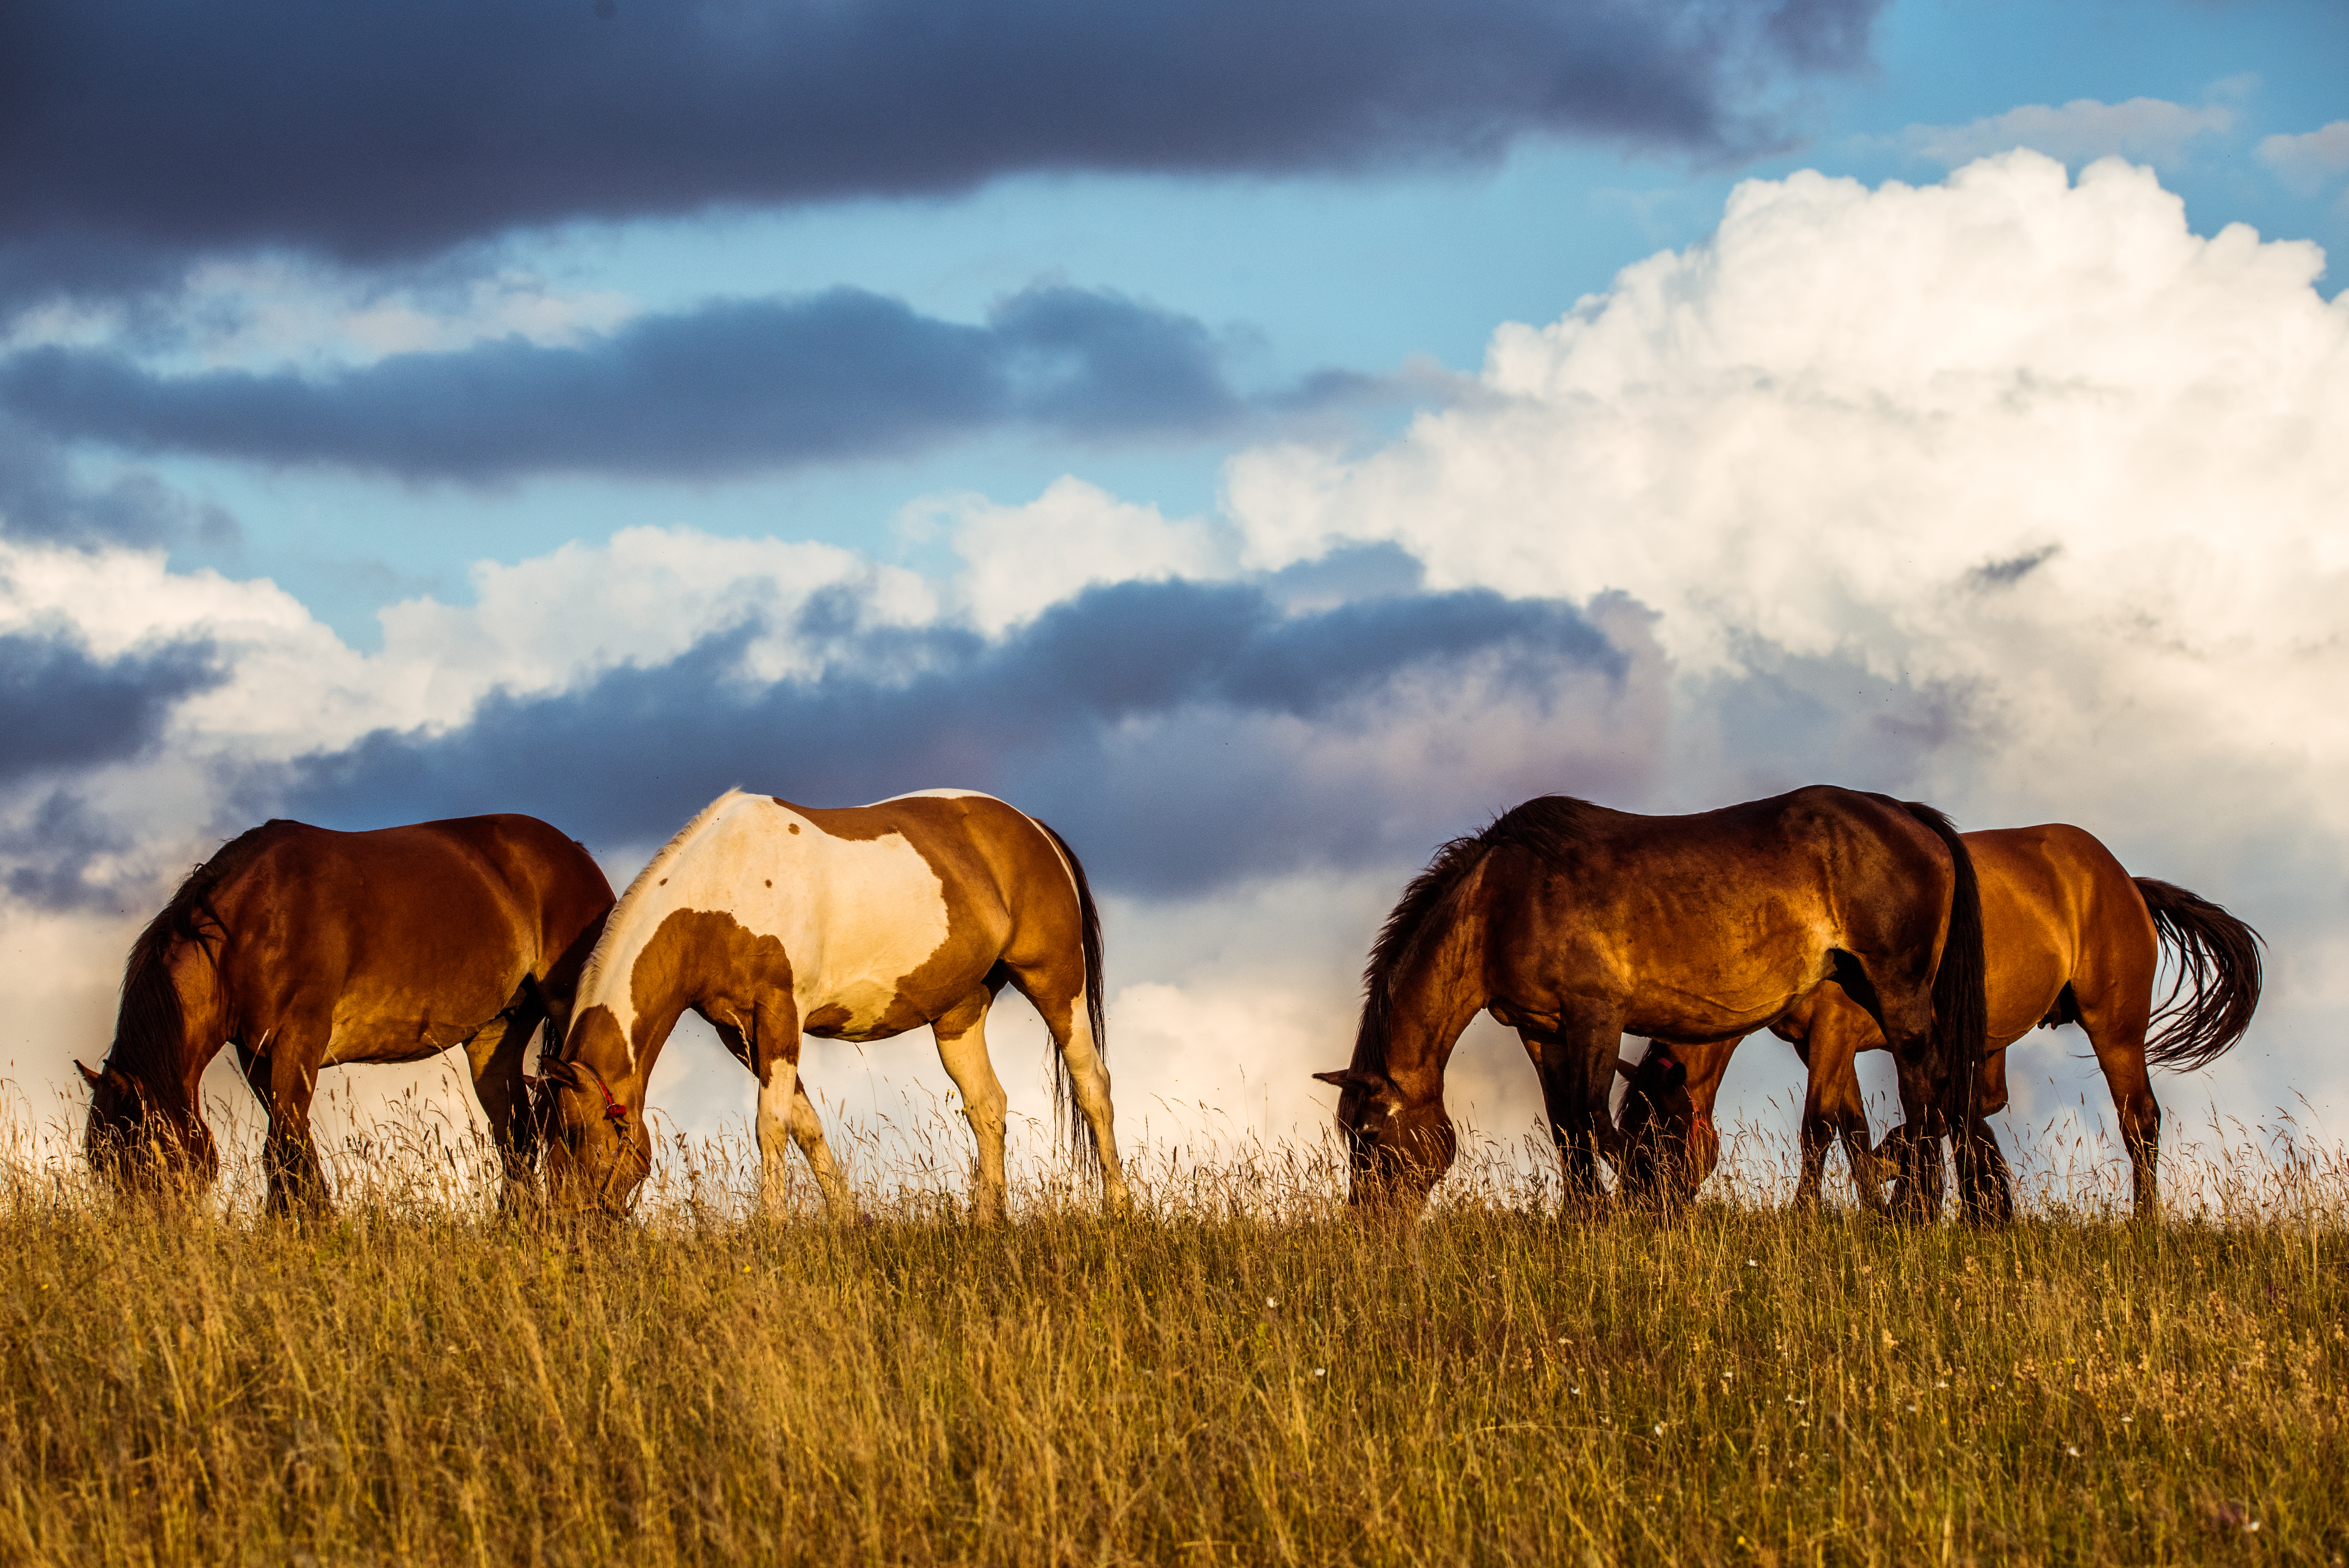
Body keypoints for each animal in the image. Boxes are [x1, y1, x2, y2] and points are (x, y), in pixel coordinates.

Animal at [80, 817, 615, 1220]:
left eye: (147, 1159)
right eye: (103, 1165)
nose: (155, 1239)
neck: (247, 923)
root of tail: (573, 852)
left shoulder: (299, 1040)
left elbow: (284, 1146)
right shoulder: (258, 1055)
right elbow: (292, 1144)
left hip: (565, 1008)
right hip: (494, 1034)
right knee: (517, 1136)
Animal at [540, 788, 1127, 1220]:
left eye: (574, 1133)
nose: (569, 1224)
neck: (719, 892)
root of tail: (1032, 827)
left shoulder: (779, 1014)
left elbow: (771, 1124)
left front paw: (771, 1224)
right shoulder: (743, 1036)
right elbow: (805, 1125)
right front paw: (845, 1218)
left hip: (1056, 982)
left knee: (1093, 1087)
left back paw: (1117, 1209)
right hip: (959, 1014)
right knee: (988, 1106)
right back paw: (987, 1220)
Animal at [1315, 788, 1992, 1220]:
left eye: (1368, 1133)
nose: (1366, 1223)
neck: (1500, 900)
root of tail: (1907, 815)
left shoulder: (1596, 1017)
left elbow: (1593, 1120)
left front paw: (1641, 1194)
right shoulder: (1542, 1030)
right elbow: (1566, 1126)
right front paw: (1585, 1217)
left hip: (1897, 989)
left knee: (1922, 1084)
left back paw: (1915, 1207)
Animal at [1616, 826, 2255, 1220]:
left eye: (1649, 1140)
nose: (1638, 1211)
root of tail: (2125, 882)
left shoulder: (1832, 1036)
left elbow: (1818, 1127)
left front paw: (1809, 1212)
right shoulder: (1824, 1044)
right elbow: (1853, 1128)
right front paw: (1882, 1201)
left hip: (2114, 1028)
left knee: (2139, 1122)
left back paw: (2142, 1222)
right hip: (1989, 1032)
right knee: (1978, 1100)